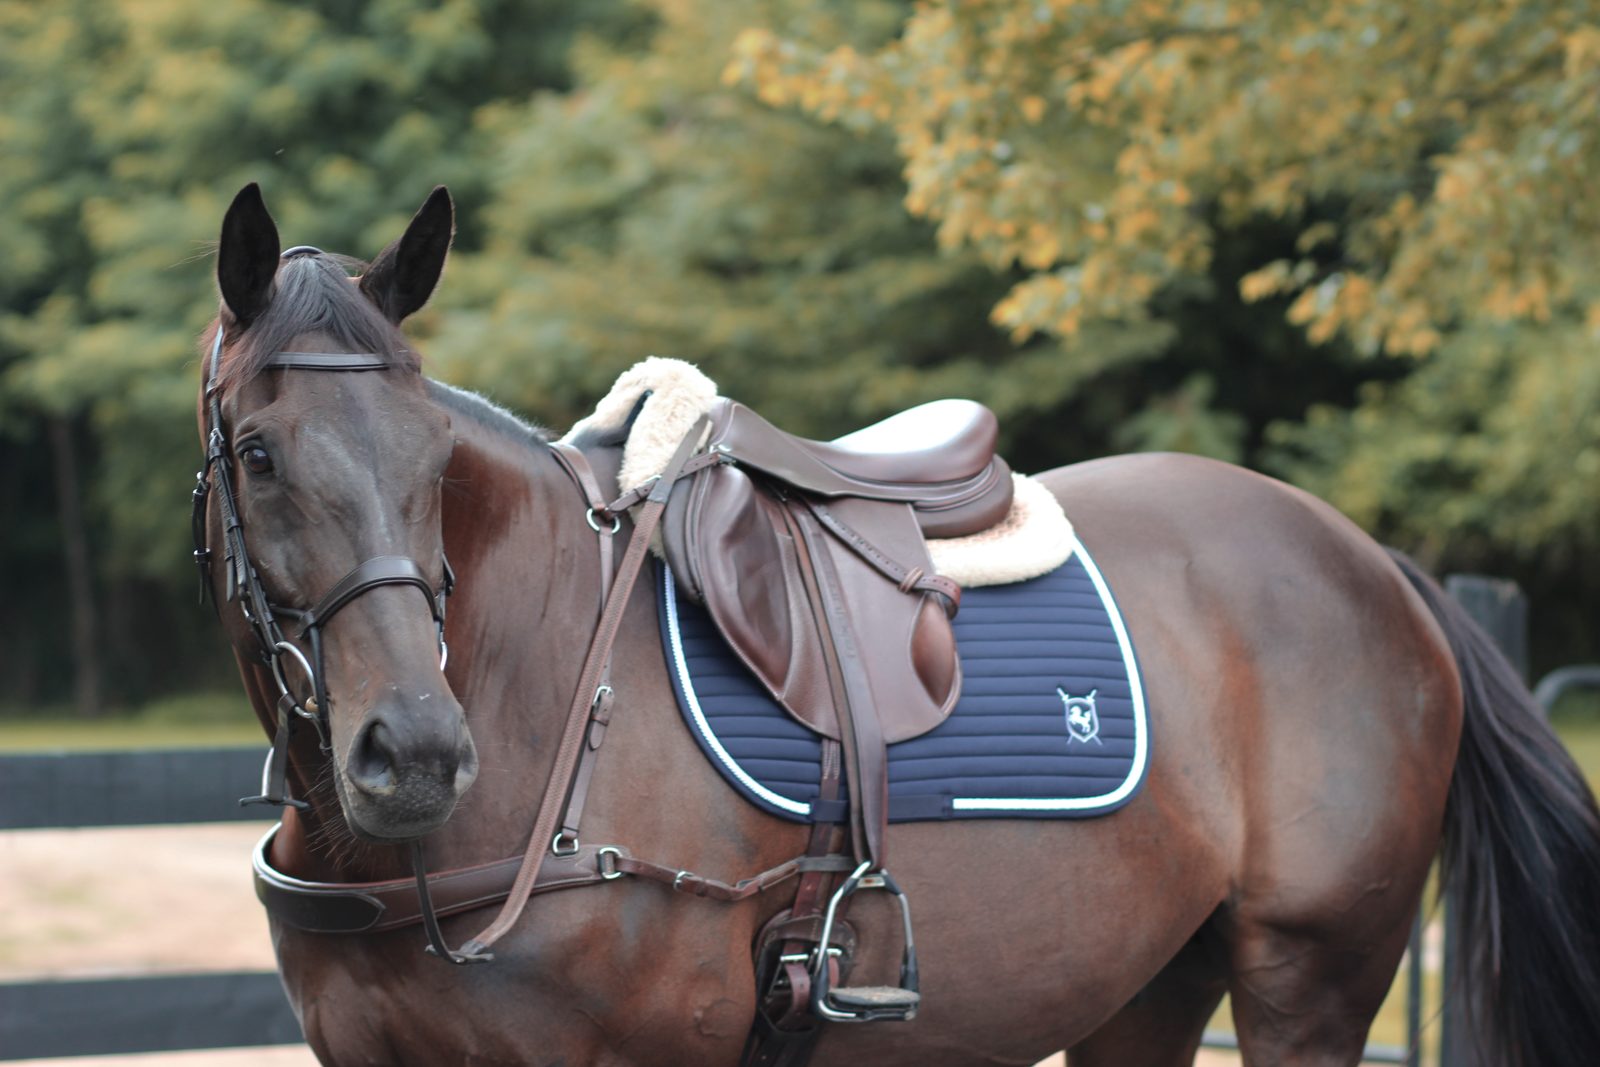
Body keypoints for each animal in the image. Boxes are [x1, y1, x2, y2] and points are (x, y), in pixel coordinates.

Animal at [195, 183, 1600, 1067]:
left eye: (435, 452)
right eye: (257, 453)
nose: (418, 753)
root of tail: (1370, 560)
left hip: (1310, 974)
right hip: (1149, 984)